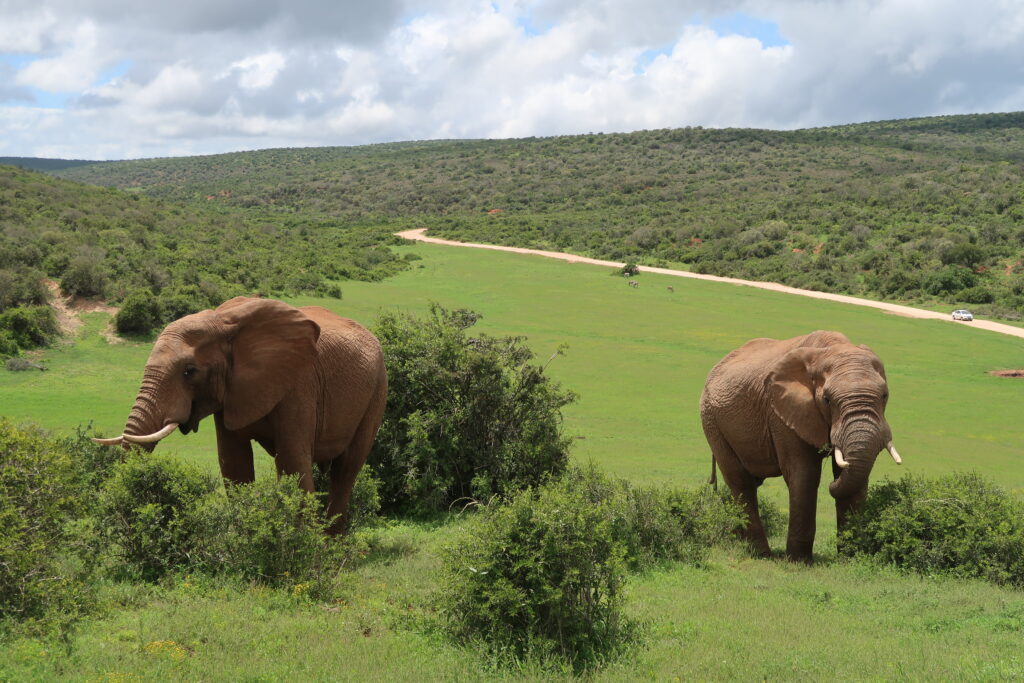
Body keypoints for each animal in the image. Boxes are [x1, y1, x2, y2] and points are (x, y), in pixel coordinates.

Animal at [94, 294, 387, 532]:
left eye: (189, 371)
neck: (220, 321)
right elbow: (234, 465)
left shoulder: (299, 384)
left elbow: (292, 463)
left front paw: (304, 549)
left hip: (377, 391)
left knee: (346, 470)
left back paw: (332, 546)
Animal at [700, 329, 901, 561]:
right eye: (827, 400)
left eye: (885, 396)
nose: (832, 485)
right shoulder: (782, 413)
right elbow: (804, 475)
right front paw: (799, 561)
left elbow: (856, 479)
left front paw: (852, 558)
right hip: (711, 419)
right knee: (740, 481)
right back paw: (761, 554)